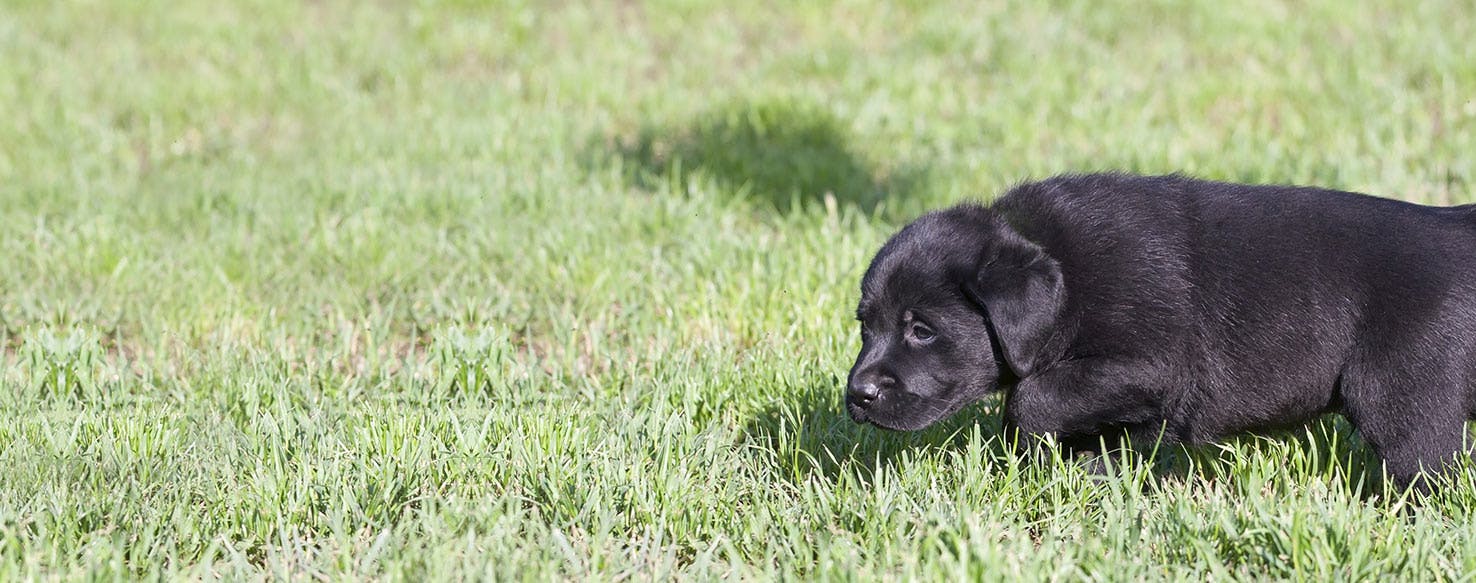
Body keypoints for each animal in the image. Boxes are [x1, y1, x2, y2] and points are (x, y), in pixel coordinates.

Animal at [850, 172, 1476, 490]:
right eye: (864, 326)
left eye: (922, 331)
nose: (857, 395)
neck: (1066, 271)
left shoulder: (1150, 365)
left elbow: (1032, 397)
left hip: (1402, 394)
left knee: (1422, 466)